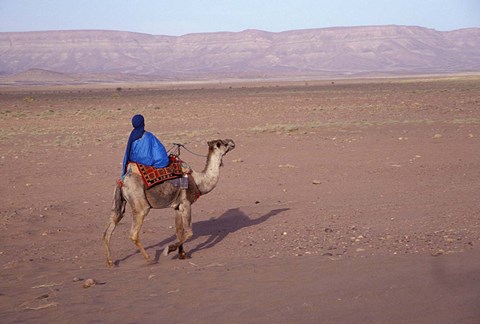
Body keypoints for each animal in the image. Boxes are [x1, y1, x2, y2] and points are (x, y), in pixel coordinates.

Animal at [103, 137, 234, 266]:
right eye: (222, 143)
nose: (232, 142)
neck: (199, 182)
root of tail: (122, 180)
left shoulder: (177, 206)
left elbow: (179, 232)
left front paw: (182, 254)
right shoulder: (186, 203)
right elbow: (189, 232)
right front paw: (169, 250)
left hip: (119, 201)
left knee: (110, 226)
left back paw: (110, 262)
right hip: (140, 204)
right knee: (133, 233)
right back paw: (149, 259)